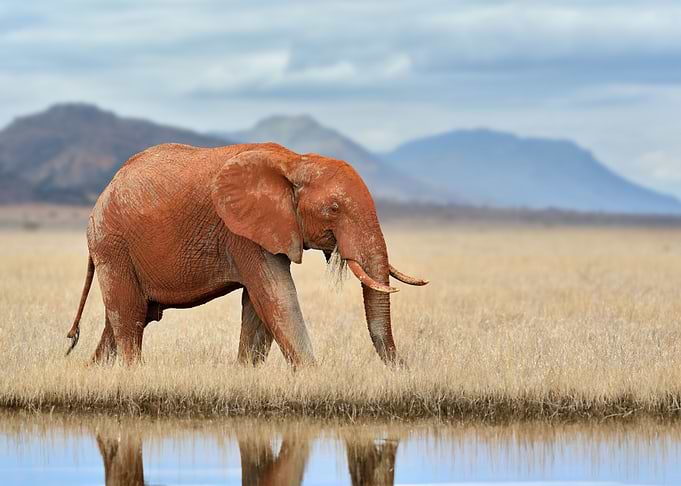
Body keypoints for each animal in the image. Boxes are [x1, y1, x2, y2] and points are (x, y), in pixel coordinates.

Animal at [65, 142, 427, 366]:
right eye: (334, 208)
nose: (403, 368)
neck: (296, 161)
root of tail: (102, 195)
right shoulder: (243, 233)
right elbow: (277, 297)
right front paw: (315, 377)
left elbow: (258, 307)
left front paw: (246, 374)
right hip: (113, 245)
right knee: (129, 318)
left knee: (121, 321)